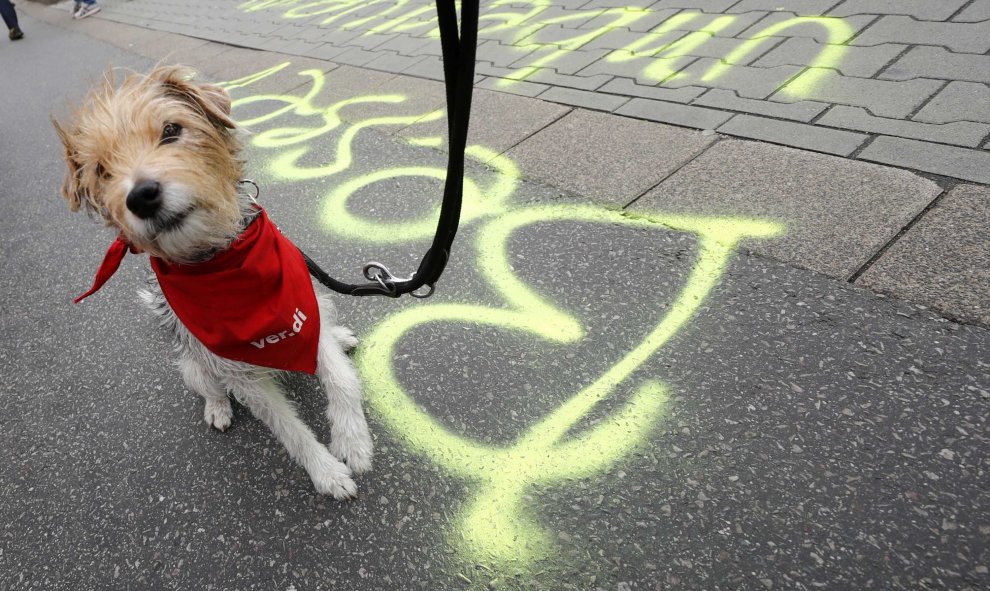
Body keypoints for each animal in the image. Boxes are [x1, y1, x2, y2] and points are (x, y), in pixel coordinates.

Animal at [52, 65, 376, 500]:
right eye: (102, 170)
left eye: (171, 130)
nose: (141, 196)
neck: (219, 259)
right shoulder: (239, 373)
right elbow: (289, 429)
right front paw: (326, 473)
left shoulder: (302, 307)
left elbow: (340, 379)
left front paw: (353, 442)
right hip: (192, 366)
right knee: (210, 387)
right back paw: (218, 408)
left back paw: (340, 338)